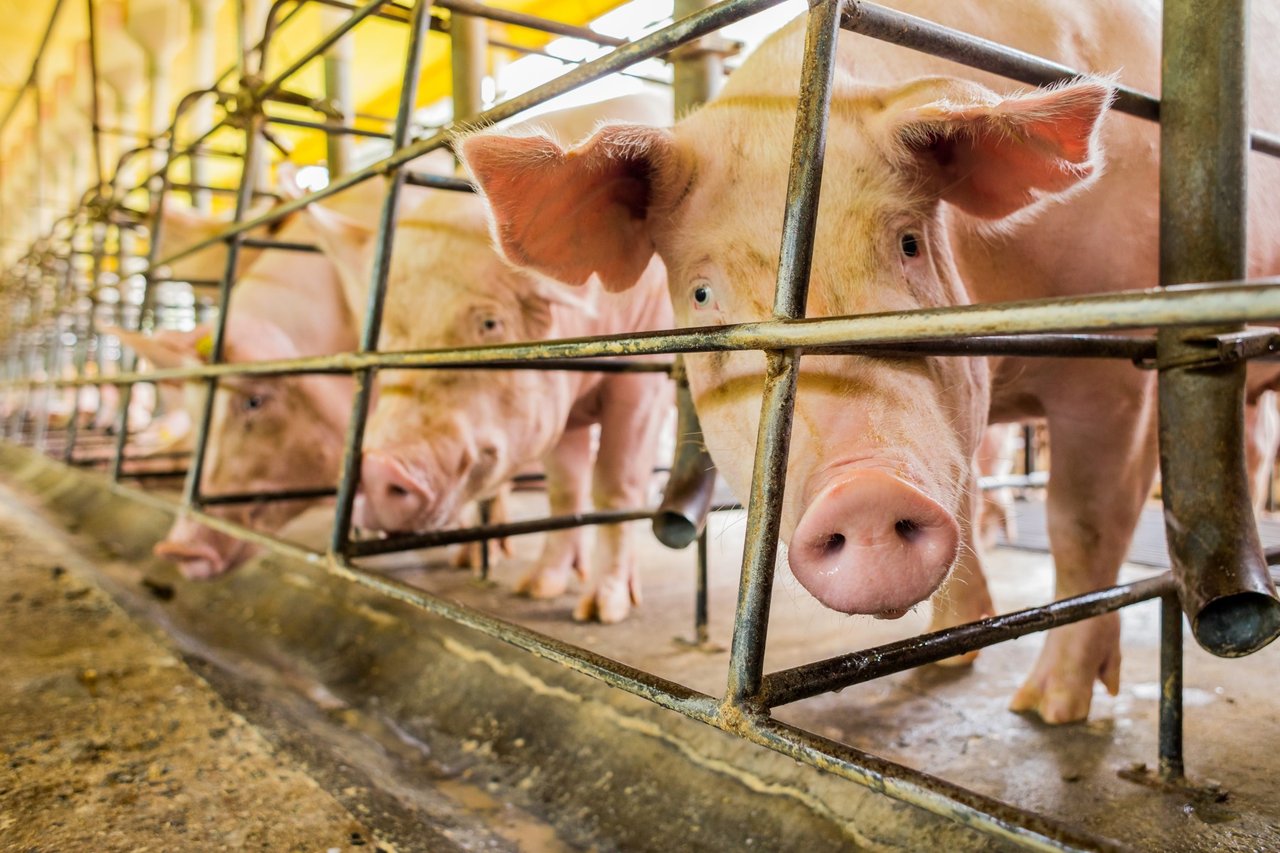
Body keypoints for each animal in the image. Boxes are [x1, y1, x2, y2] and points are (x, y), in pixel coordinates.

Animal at [307, 92, 680, 622]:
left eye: (489, 325)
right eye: (391, 334)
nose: (378, 469)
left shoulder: (643, 379)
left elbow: (616, 485)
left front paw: (599, 611)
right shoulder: (560, 402)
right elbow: (564, 488)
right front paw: (536, 590)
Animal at [463, 1, 1280, 722]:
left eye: (910, 243)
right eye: (701, 292)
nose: (866, 491)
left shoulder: (1118, 363)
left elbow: (1081, 522)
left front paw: (1047, 712)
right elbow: (969, 494)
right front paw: (950, 654)